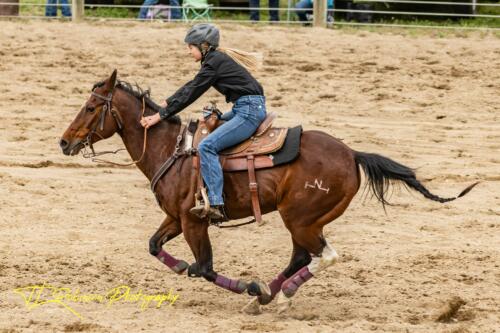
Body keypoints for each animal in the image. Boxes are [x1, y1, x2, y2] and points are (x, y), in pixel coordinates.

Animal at [59, 70, 476, 312]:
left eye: (92, 106)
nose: (64, 142)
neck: (171, 150)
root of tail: (353, 154)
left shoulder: (195, 223)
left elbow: (204, 268)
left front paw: (243, 284)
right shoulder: (175, 217)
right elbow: (154, 245)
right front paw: (181, 266)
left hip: (301, 219)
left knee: (323, 256)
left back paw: (278, 294)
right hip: (303, 221)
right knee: (301, 257)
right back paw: (266, 295)